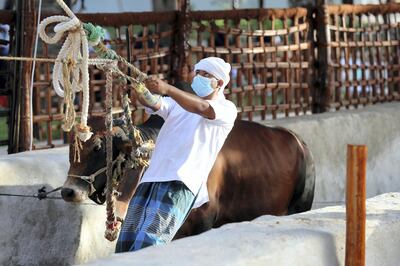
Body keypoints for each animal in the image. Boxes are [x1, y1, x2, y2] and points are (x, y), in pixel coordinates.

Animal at [61, 115, 316, 238]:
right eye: (70, 149)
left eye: (97, 147)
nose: (68, 191)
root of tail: (300, 143)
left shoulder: (202, 222)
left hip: (300, 205)